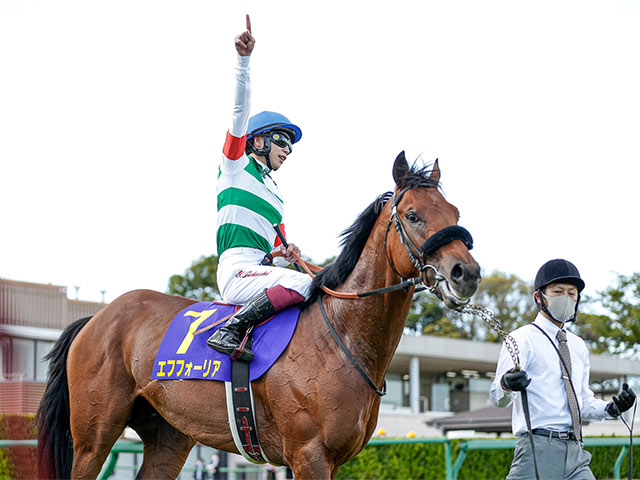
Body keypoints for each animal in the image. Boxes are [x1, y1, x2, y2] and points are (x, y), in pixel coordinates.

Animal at [37, 152, 480, 478]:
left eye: (455, 213)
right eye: (413, 215)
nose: (467, 273)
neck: (340, 337)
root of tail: (97, 318)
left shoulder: (332, 460)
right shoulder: (309, 455)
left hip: (169, 436)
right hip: (93, 436)